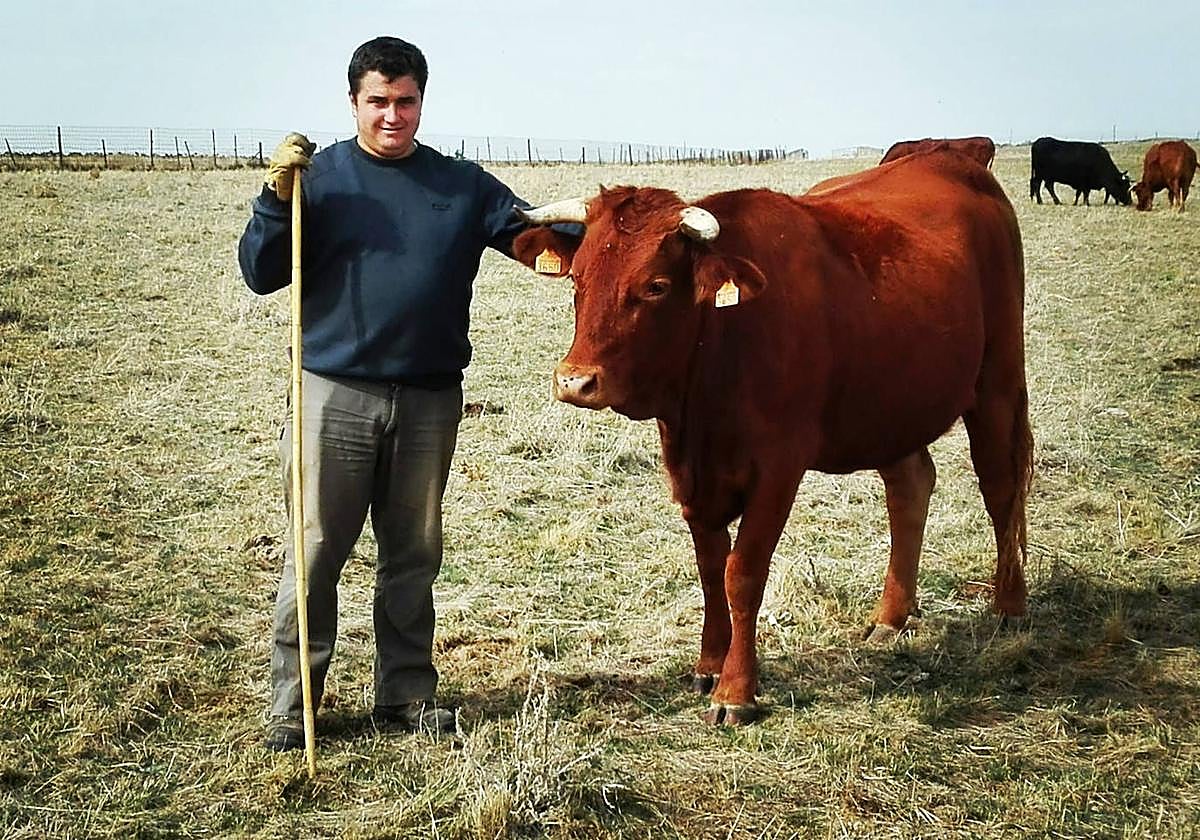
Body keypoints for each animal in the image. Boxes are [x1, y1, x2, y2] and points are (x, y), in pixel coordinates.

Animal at [511, 150, 1032, 725]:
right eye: (577, 280)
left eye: (656, 286)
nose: (575, 381)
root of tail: (949, 156)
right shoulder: (694, 476)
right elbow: (710, 570)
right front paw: (709, 665)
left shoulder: (778, 469)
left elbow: (742, 573)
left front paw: (736, 690)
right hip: (891, 405)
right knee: (911, 486)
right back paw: (892, 616)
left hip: (997, 383)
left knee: (1001, 489)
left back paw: (1010, 607)